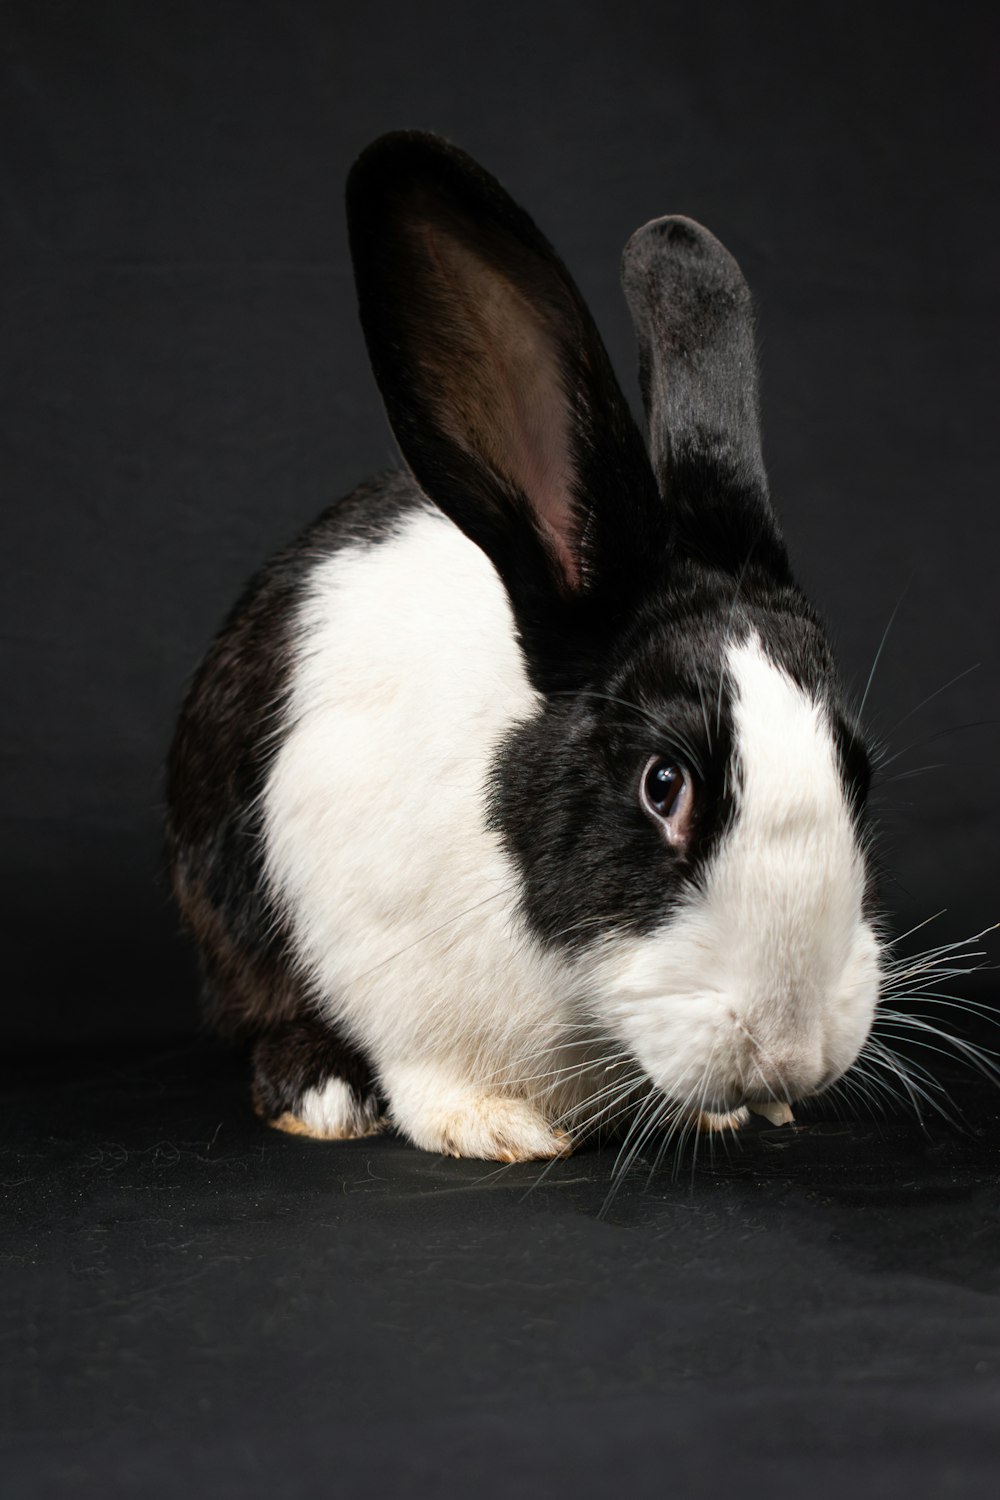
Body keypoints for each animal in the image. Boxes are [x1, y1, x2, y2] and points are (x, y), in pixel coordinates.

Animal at [167, 132, 881, 1158]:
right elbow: (428, 1066)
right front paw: (494, 1127)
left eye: (856, 773)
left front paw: (738, 1111)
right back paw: (322, 1096)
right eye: (663, 784)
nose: (791, 1051)